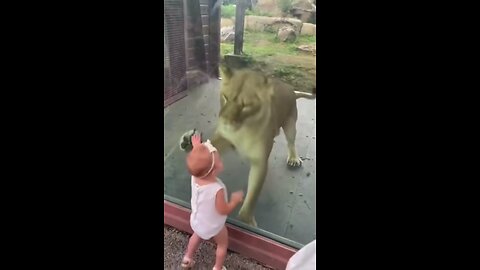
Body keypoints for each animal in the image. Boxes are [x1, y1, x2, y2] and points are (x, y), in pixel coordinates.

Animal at [180, 65, 316, 226]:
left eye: (246, 106)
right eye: (225, 97)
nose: (226, 121)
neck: (243, 129)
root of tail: (290, 88)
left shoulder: (260, 162)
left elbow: (252, 196)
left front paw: (247, 221)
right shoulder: (225, 138)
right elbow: (211, 145)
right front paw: (190, 144)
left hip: (290, 124)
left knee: (291, 142)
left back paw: (294, 158)